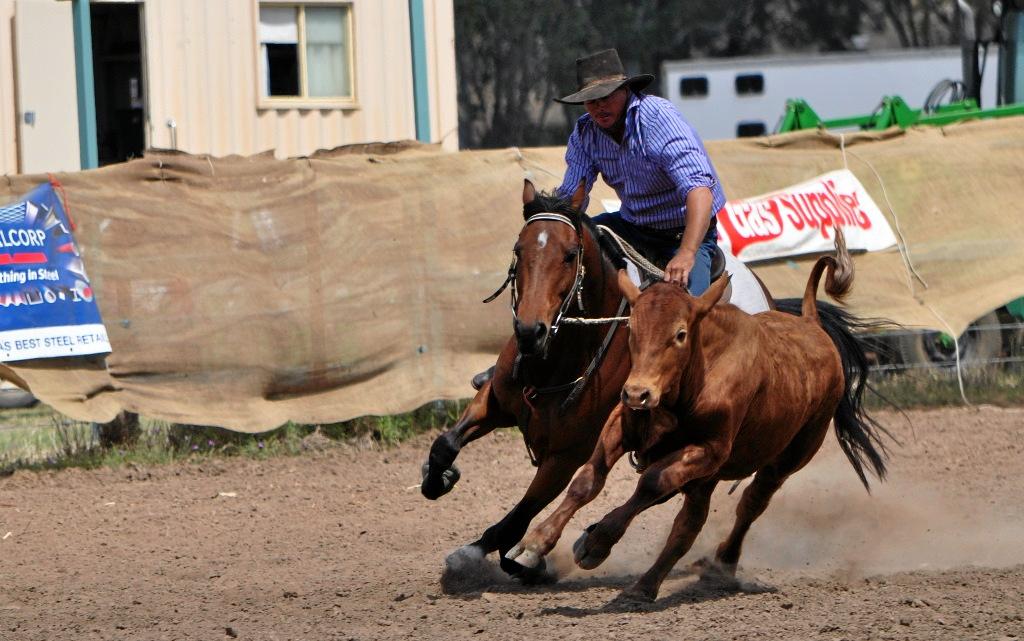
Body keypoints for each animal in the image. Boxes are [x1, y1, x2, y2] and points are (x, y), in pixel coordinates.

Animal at [509, 228, 888, 597]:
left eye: (680, 334)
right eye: (632, 328)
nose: (638, 393)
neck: (691, 382)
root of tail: (810, 322)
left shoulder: (708, 450)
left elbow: (651, 484)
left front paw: (597, 542)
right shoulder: (622, 425)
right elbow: (588, 480)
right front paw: (533, 545)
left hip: (786, 458)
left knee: (749, 503)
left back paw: (707, 567)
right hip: (708, 478)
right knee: (689, 525)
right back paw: (649, 584)